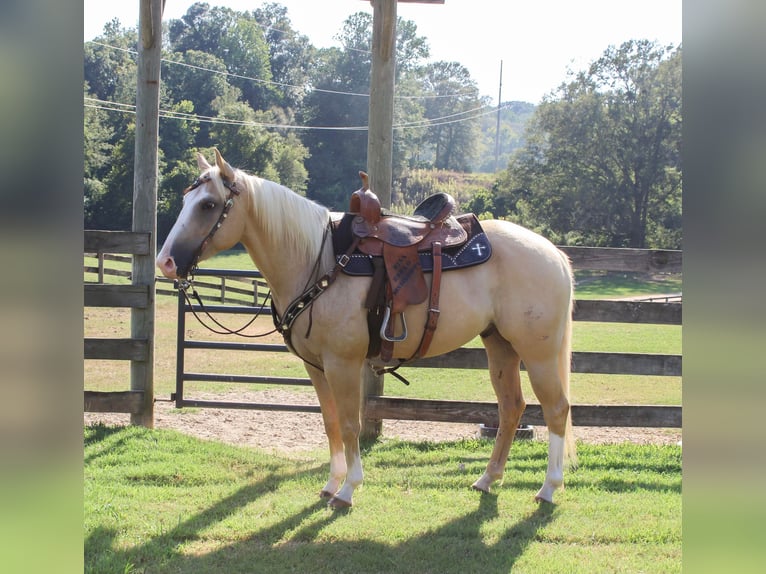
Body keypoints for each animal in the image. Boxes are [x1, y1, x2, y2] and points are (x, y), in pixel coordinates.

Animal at [158, 151, 576, 510]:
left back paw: (549, 488)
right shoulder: (316, 366)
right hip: (500, 345)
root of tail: (554, 253)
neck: (320, 261)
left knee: (556, 409)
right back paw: (488, 479)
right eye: (187, 199)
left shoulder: (343, 364)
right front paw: (331, 483)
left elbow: (349, 424)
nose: (166, 262)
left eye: (208, 205)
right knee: (511, 408)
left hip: (537, 353)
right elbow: (330, 423)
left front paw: (348, 489)